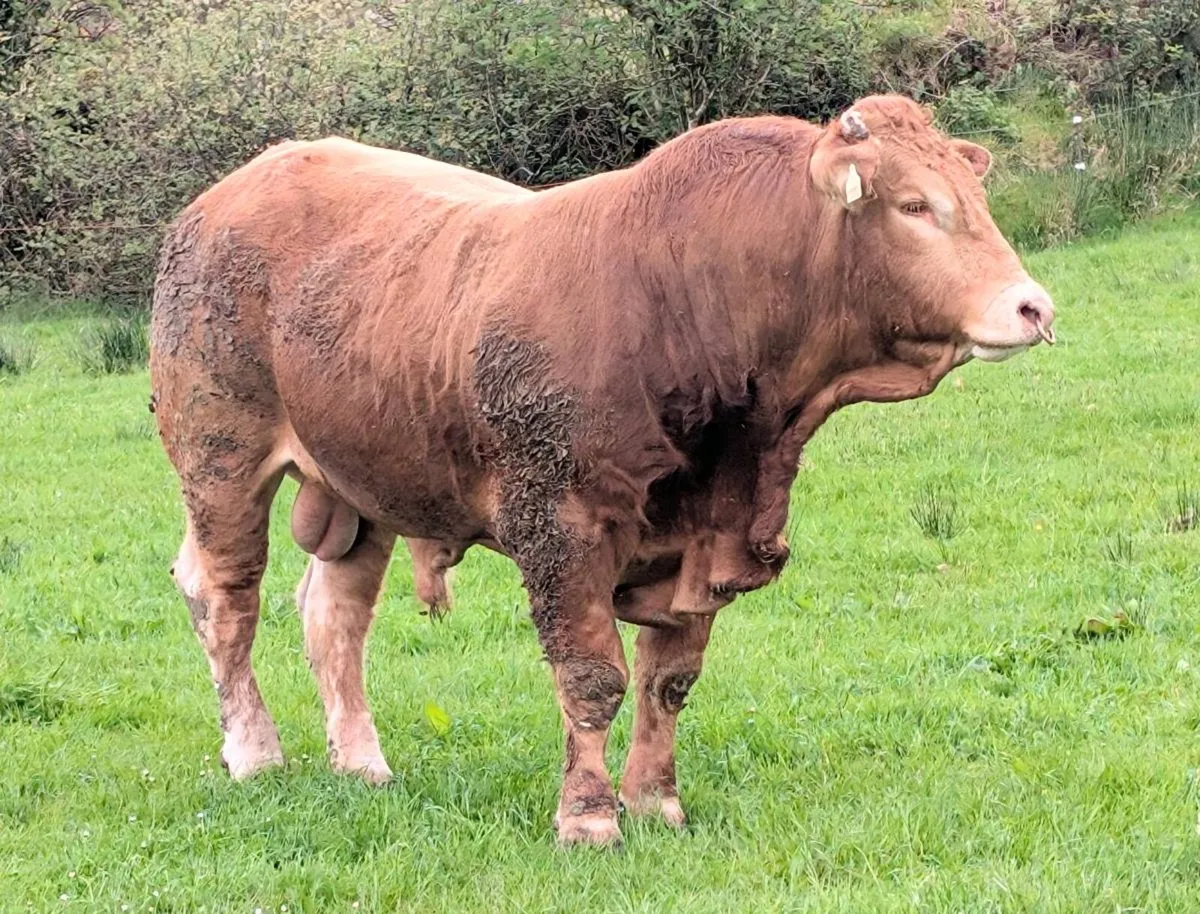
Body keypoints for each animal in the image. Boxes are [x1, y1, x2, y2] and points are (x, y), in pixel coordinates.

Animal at [150, 95, 1055, 846]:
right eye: (914, 206)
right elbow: (592, 679)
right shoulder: (562, 528)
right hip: (220, 454)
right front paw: (587, 817)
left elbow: (668, 681)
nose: (1034, 306)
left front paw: (655, 802)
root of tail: (228, 191)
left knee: (333, 614)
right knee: (224, 599)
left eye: (974, 201)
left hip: (361, 480)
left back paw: (362, 762)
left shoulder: (702, 538)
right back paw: (255, 752)